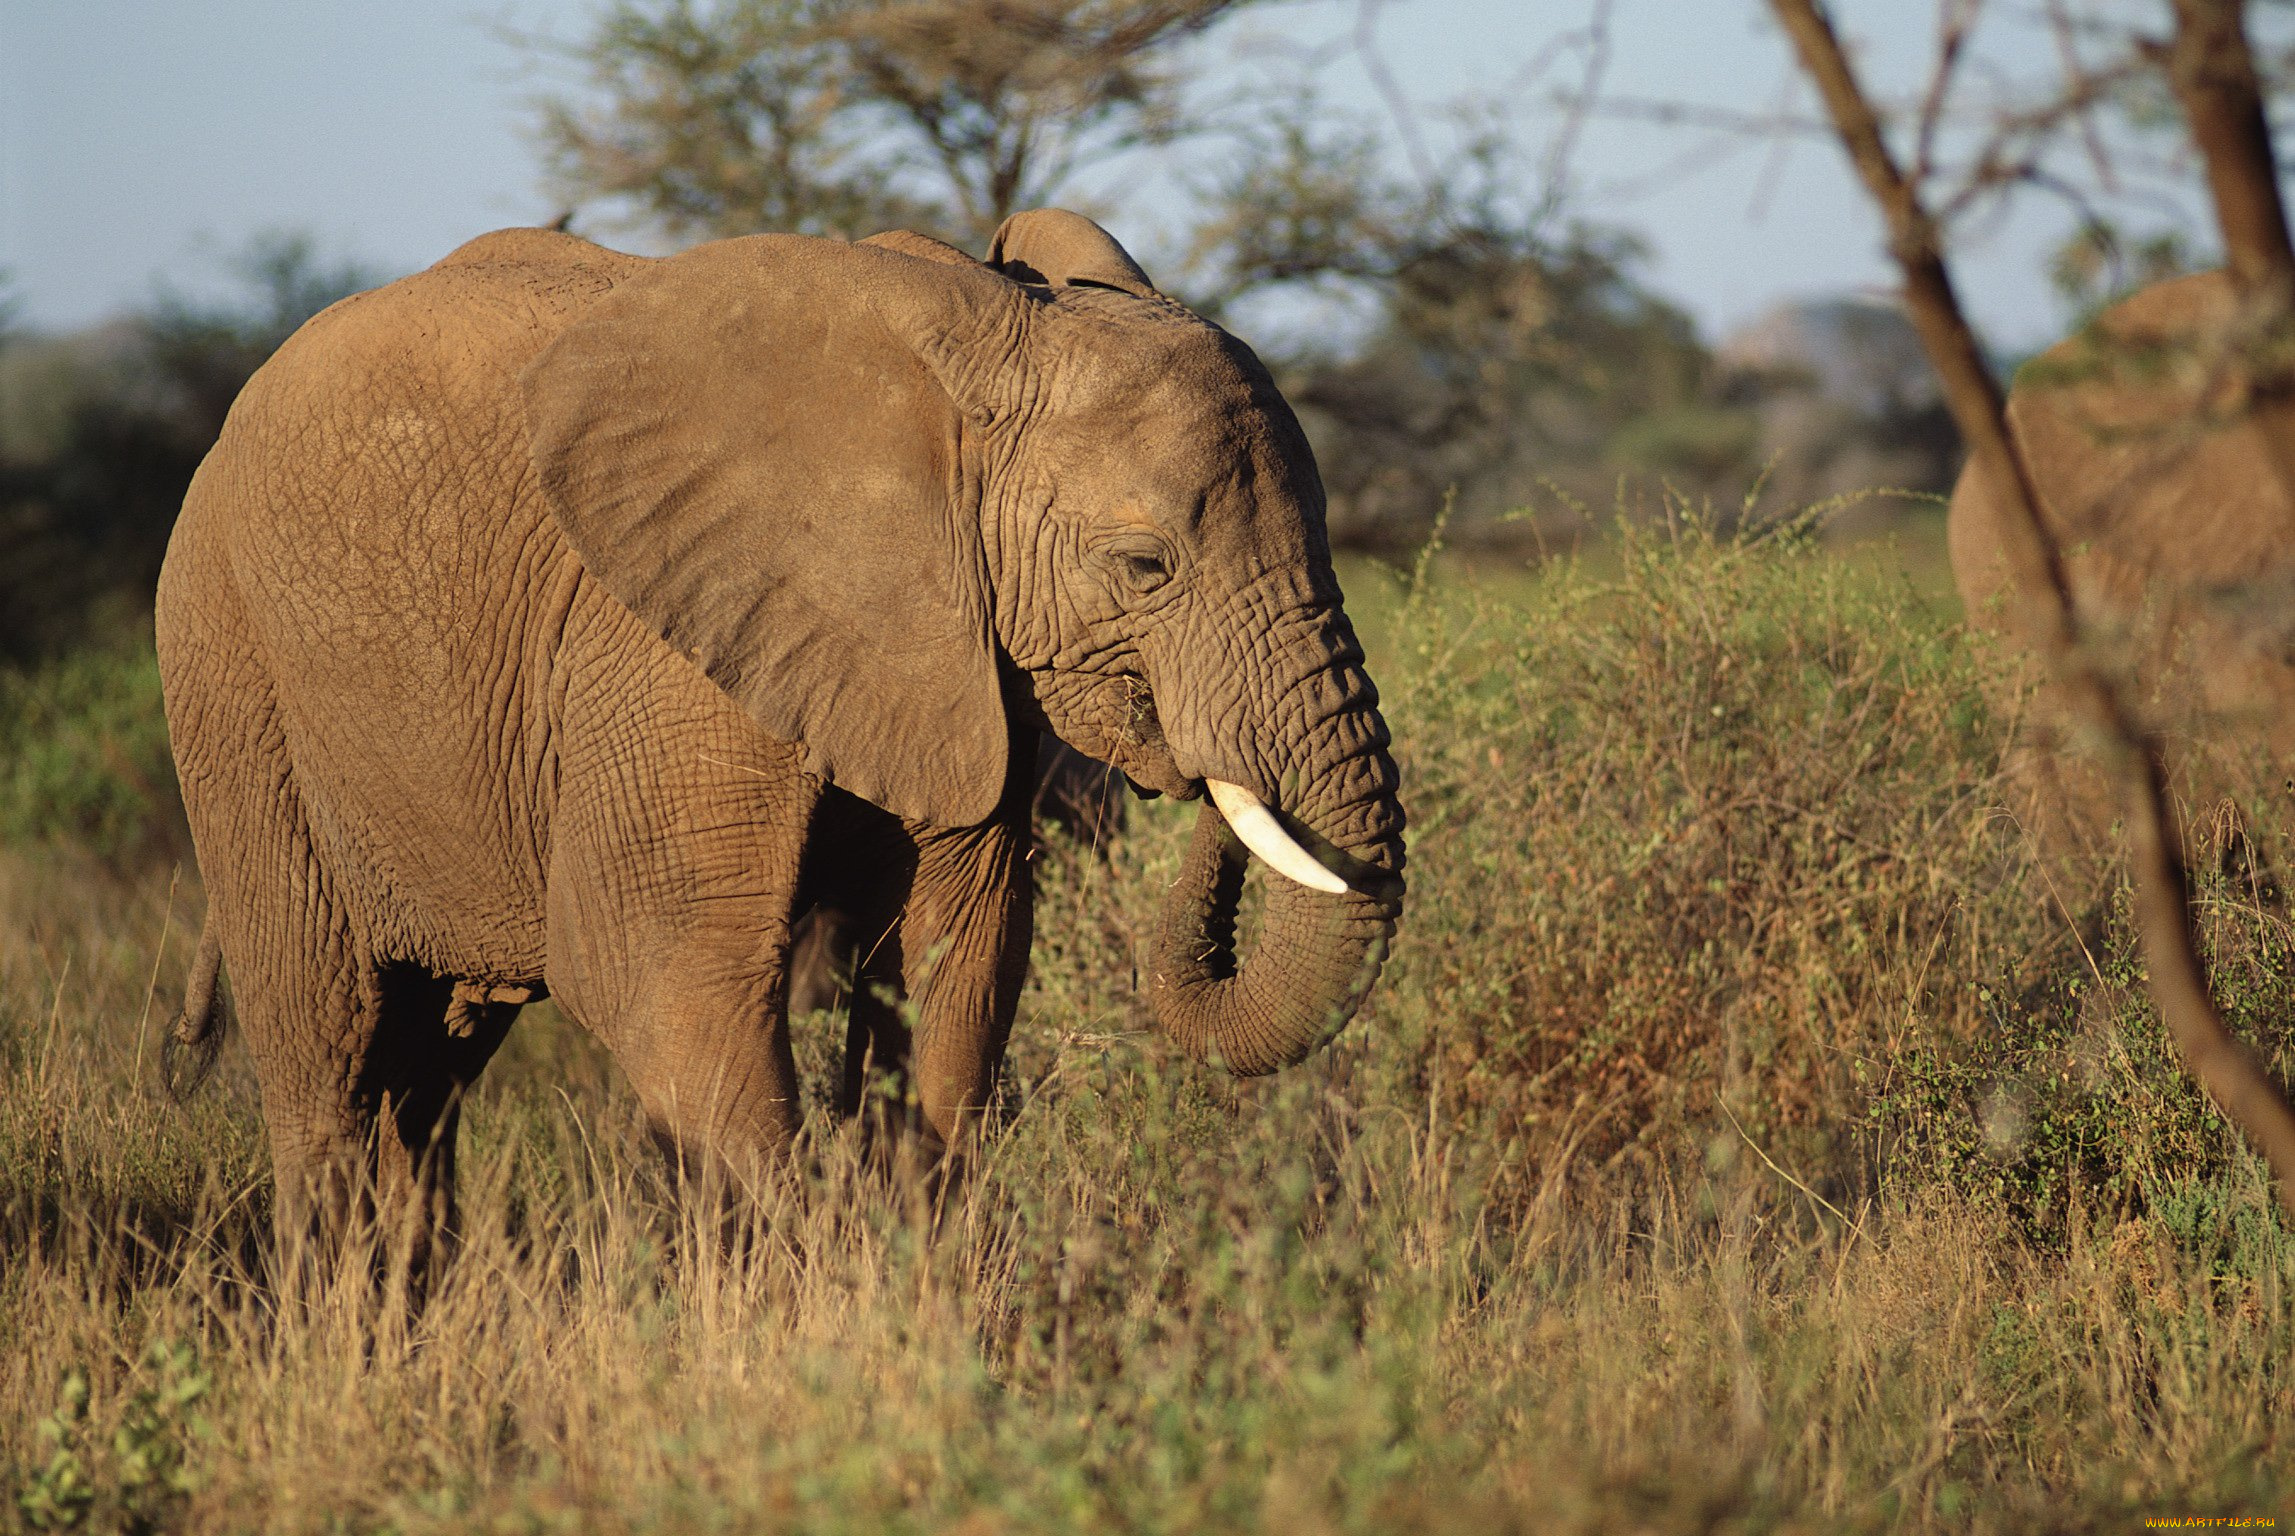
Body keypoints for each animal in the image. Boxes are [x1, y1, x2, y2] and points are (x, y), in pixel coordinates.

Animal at [157, 206, 1395, 1258]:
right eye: (1144, 566)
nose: (1199, 771)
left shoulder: (959, 658)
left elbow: (959, 958)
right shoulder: (662, 651)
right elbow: (662, 974)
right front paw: (812, 1296)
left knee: (429, 1072)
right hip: (231, 676)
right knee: (328, 1045)